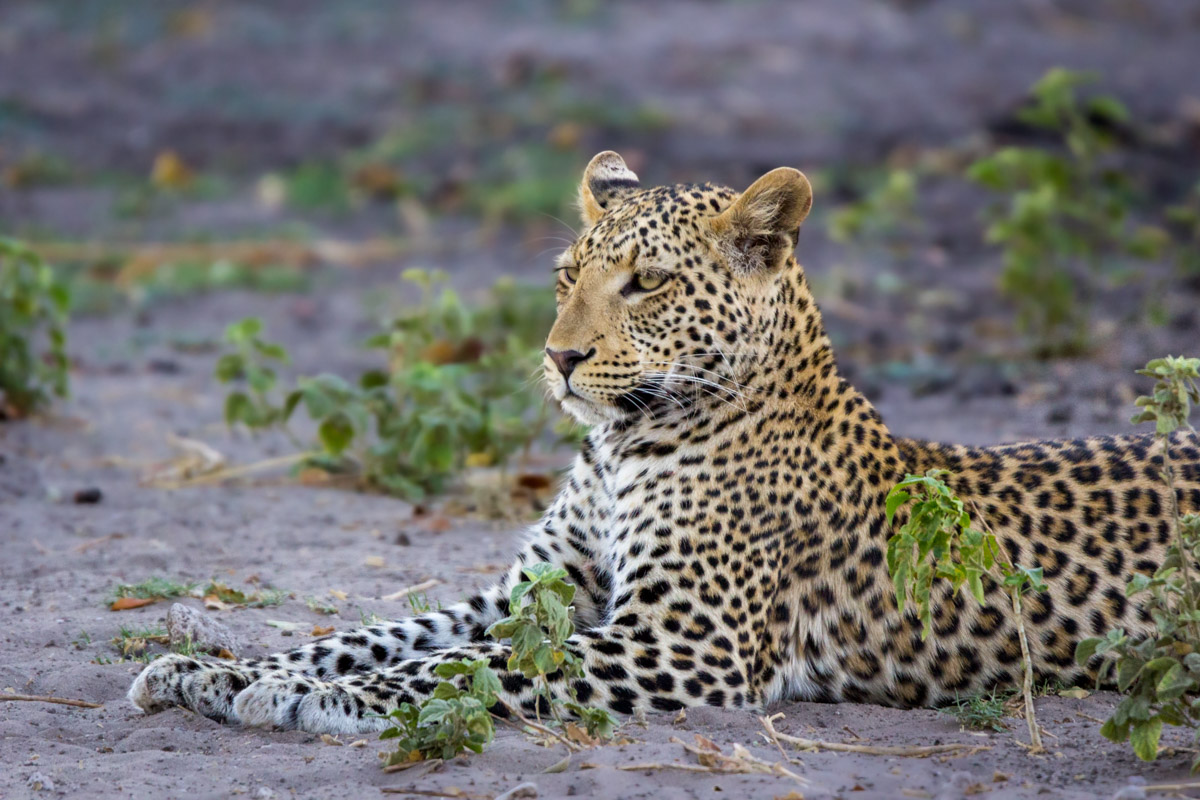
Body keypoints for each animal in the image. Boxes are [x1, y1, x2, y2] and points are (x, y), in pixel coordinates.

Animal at [126, 148, 1200, 734]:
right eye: (567, 275)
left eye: (646, 283)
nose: (559, 357)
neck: (617, 449)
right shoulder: (530, 595)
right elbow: (371, 634)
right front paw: (214, 668)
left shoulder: (685, 639)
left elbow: (454, 668)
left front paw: (303, 698)